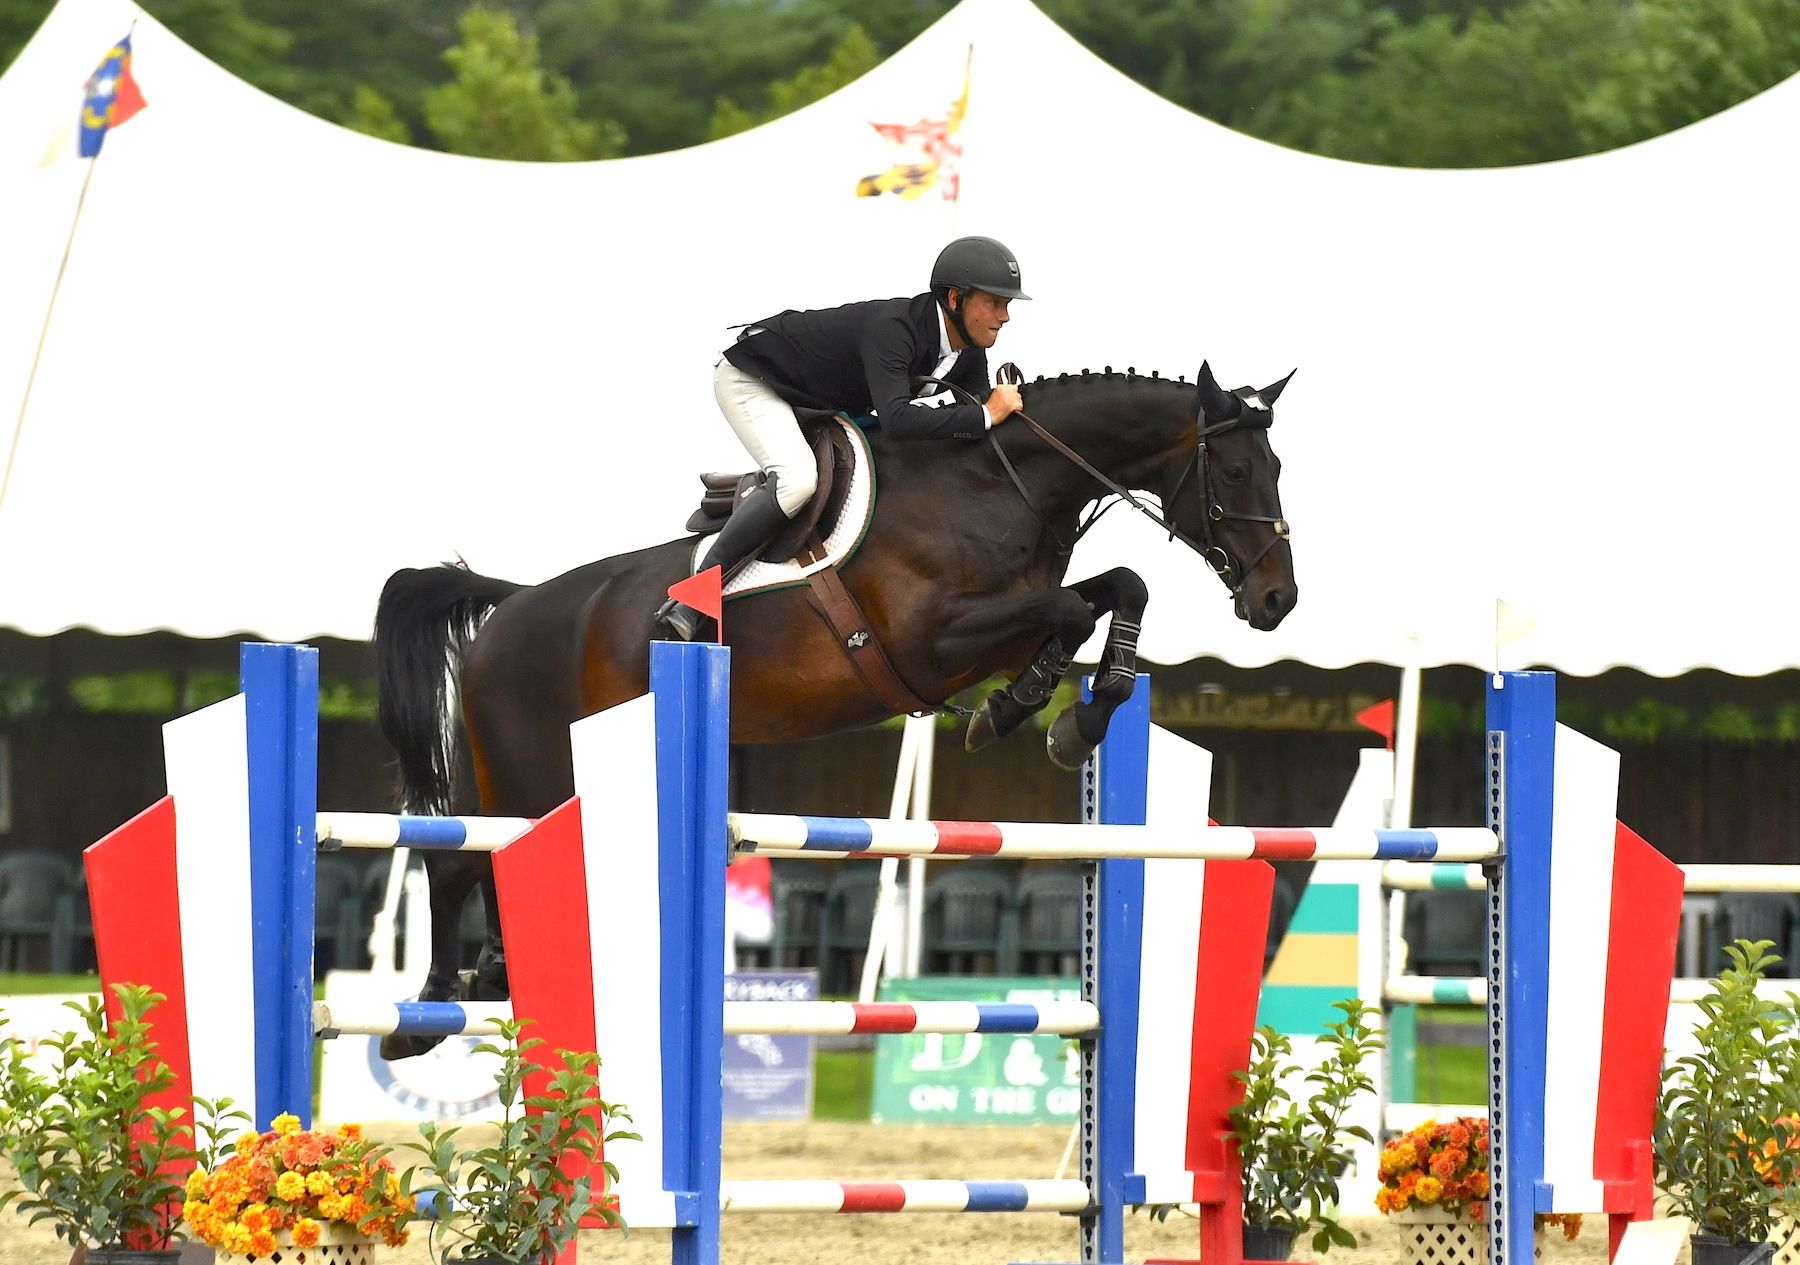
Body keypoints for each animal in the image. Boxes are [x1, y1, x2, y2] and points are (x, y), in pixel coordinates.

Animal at [372, 361, 1298, 1057]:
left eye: (1277, 469)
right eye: (1237, 471)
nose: (1278, 599)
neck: (1002, 484)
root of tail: (512, 603)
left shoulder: (1004, 626)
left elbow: (1115, 591)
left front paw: (1071, 714)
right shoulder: (933, 641)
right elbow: (1072, 609)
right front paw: (1030, 712)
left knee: (488, 859)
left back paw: (489, 974)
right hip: (531, 767)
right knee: (456, 859)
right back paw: (423, 1012)